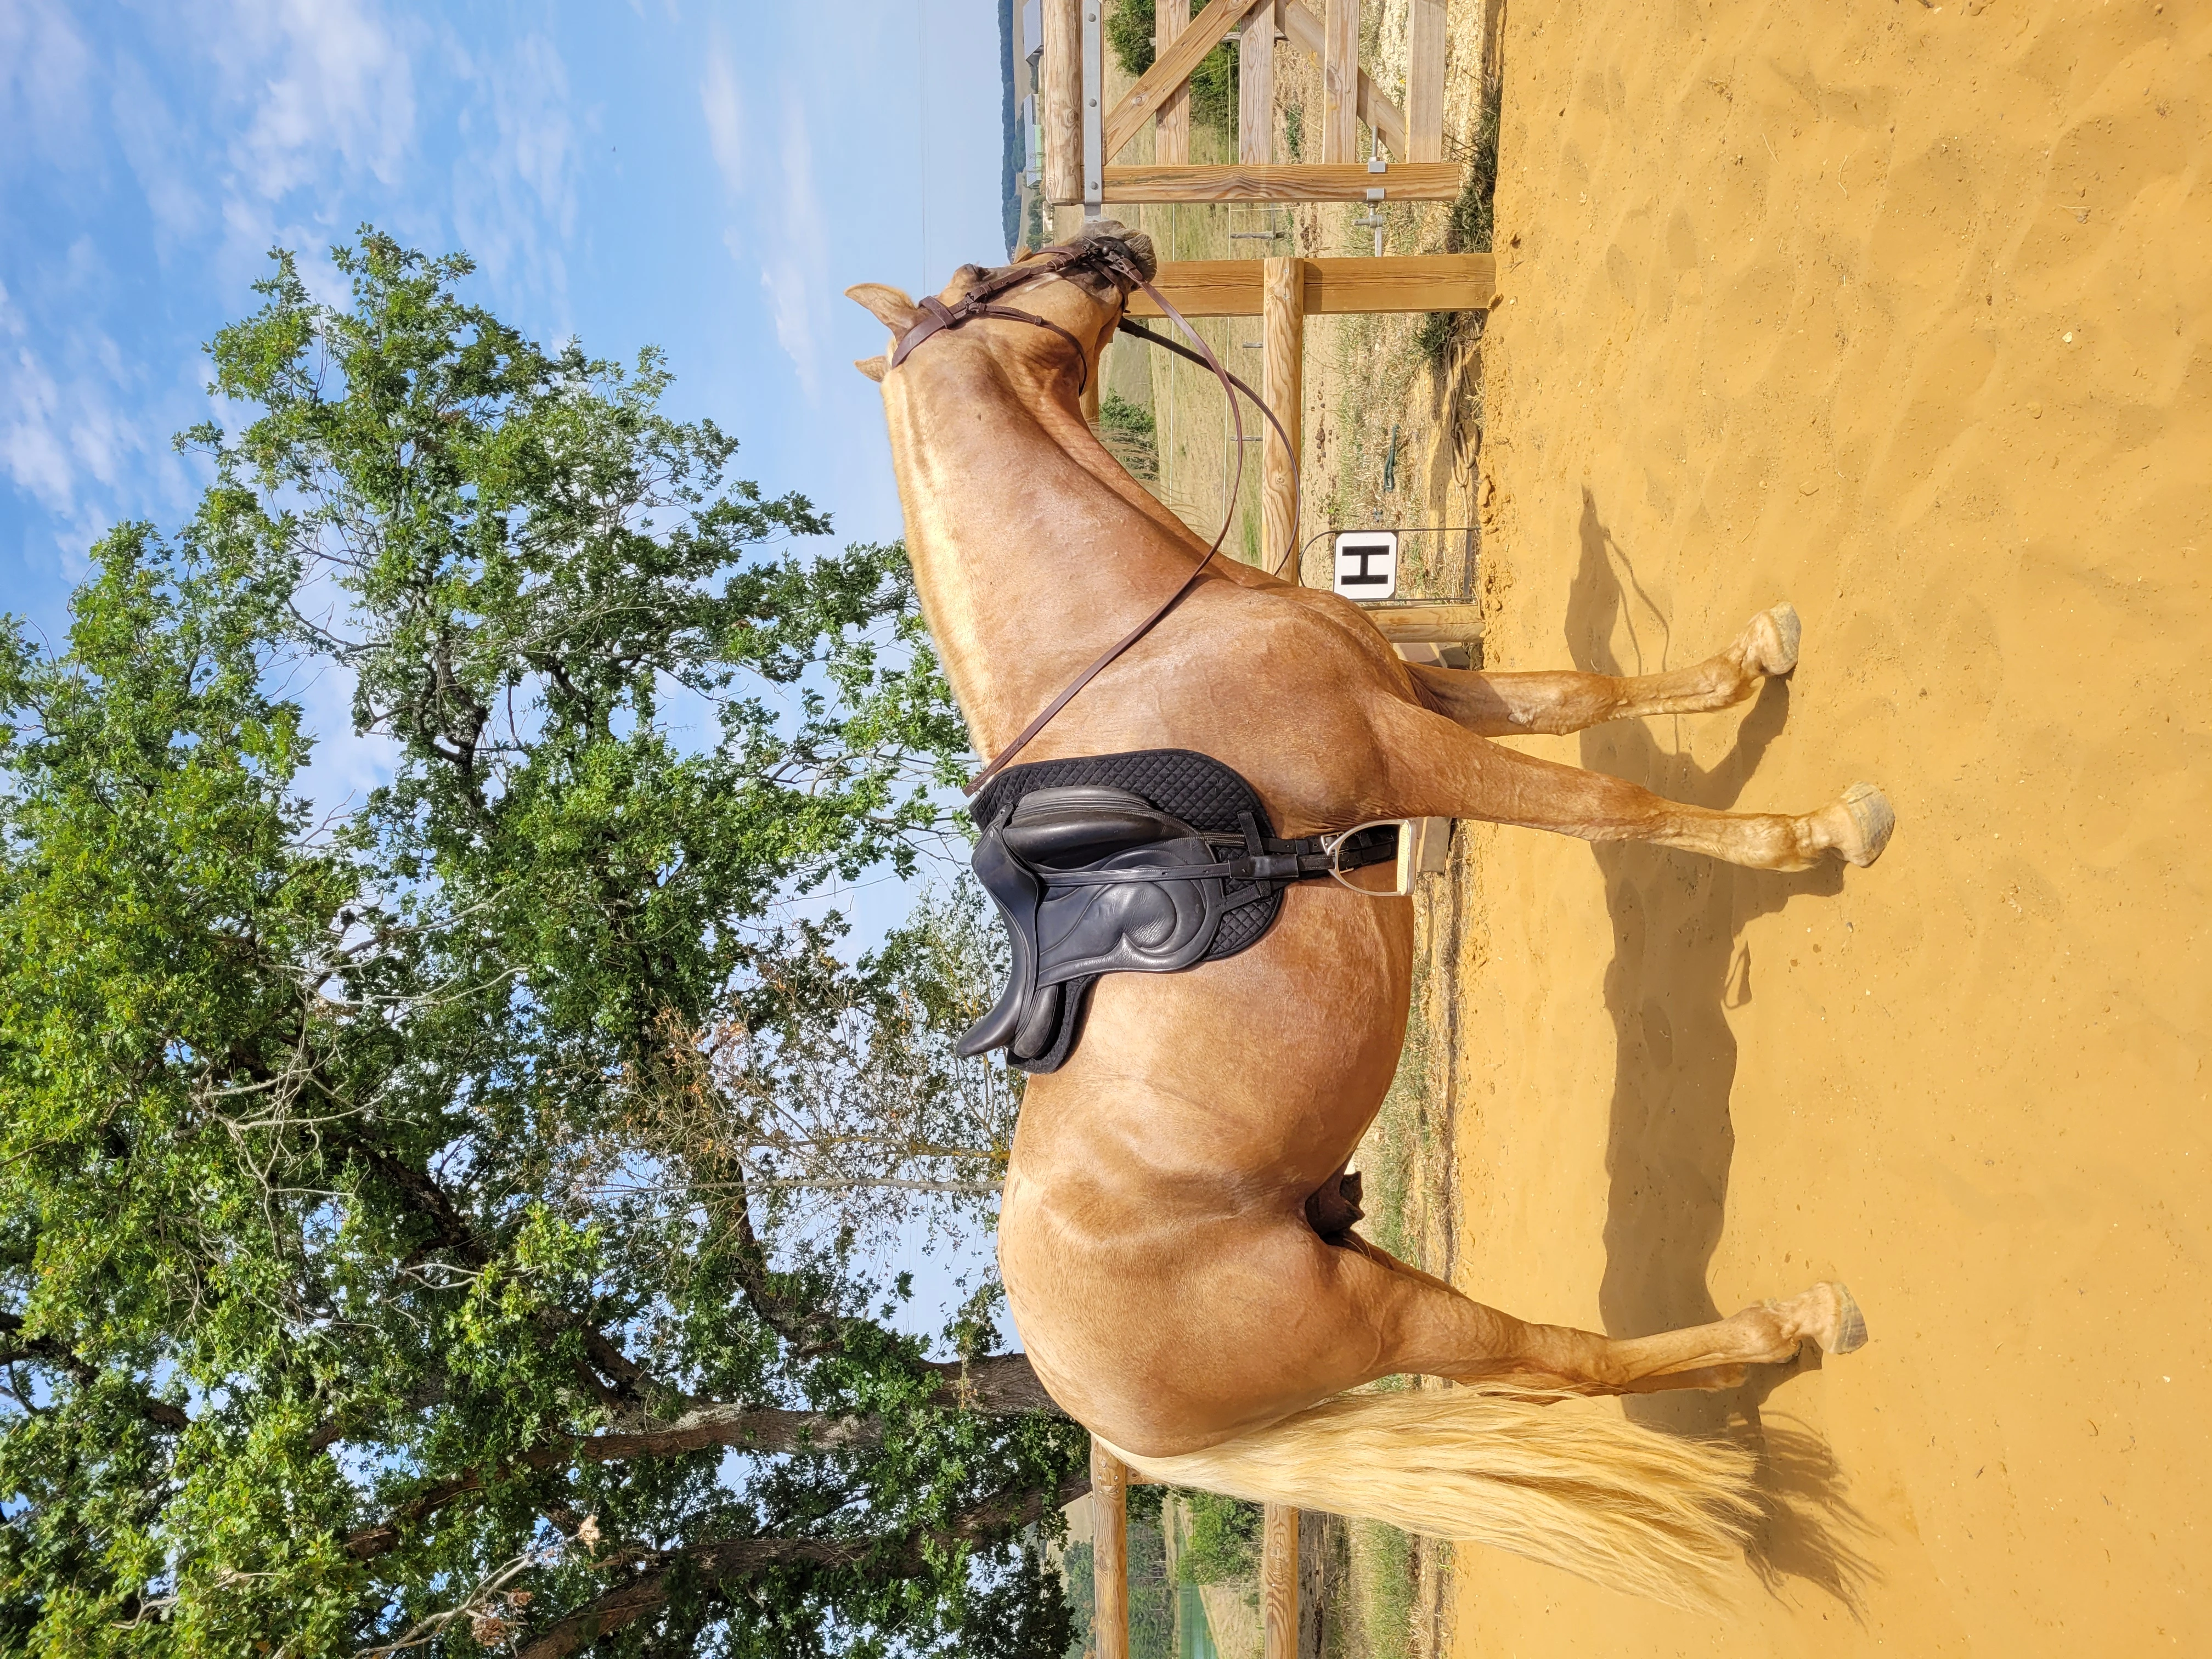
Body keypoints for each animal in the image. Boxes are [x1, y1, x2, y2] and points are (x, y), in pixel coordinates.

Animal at [849, 221, 1890, 1604]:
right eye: (983, 284)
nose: (1115, 238)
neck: (1143, 648)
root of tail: (1102, 1414)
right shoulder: (1409, 753)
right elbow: (1608, 800)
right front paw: (1817, 833)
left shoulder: (1420, 691)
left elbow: (1578, 691)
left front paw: (1750, 664)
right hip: (1390, 1320)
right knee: (1564, 1364)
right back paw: (1795, 1324)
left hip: (1359, 1260)